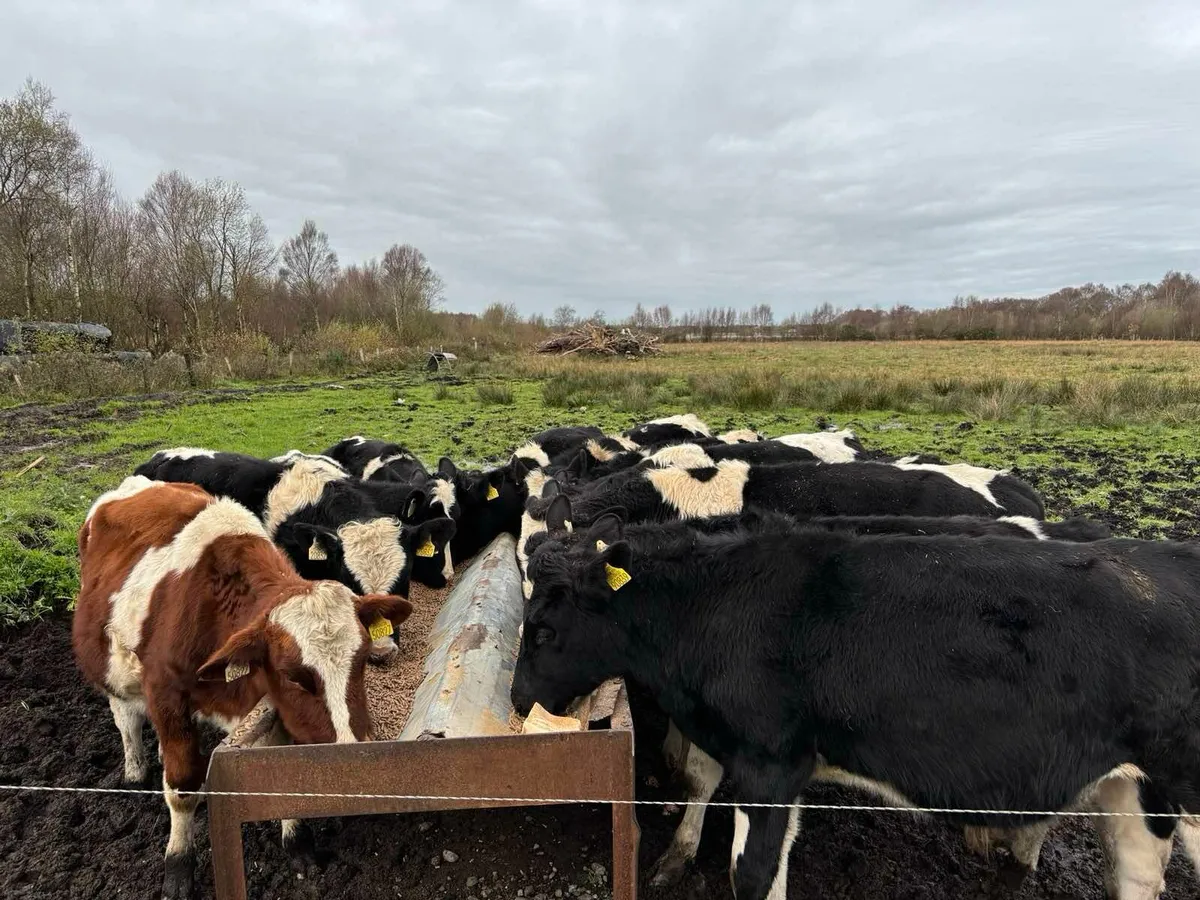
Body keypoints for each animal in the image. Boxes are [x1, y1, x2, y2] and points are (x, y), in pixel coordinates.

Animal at [73, 477, 412, 900]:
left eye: (362, 657)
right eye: (292, 674)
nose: (354, 752)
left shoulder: (272, 708)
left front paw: (298, 843)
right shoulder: (166, 694)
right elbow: (182, 786)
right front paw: (178, 865)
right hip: (111, 664)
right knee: (125, 716)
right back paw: (135, 769)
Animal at [512, 512, 1200, 900]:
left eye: (543, 629)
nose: (517, 697)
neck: (717, 603)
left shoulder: (767, 761)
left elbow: (750, 874)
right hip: (1137, 790)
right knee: (1138, 875)